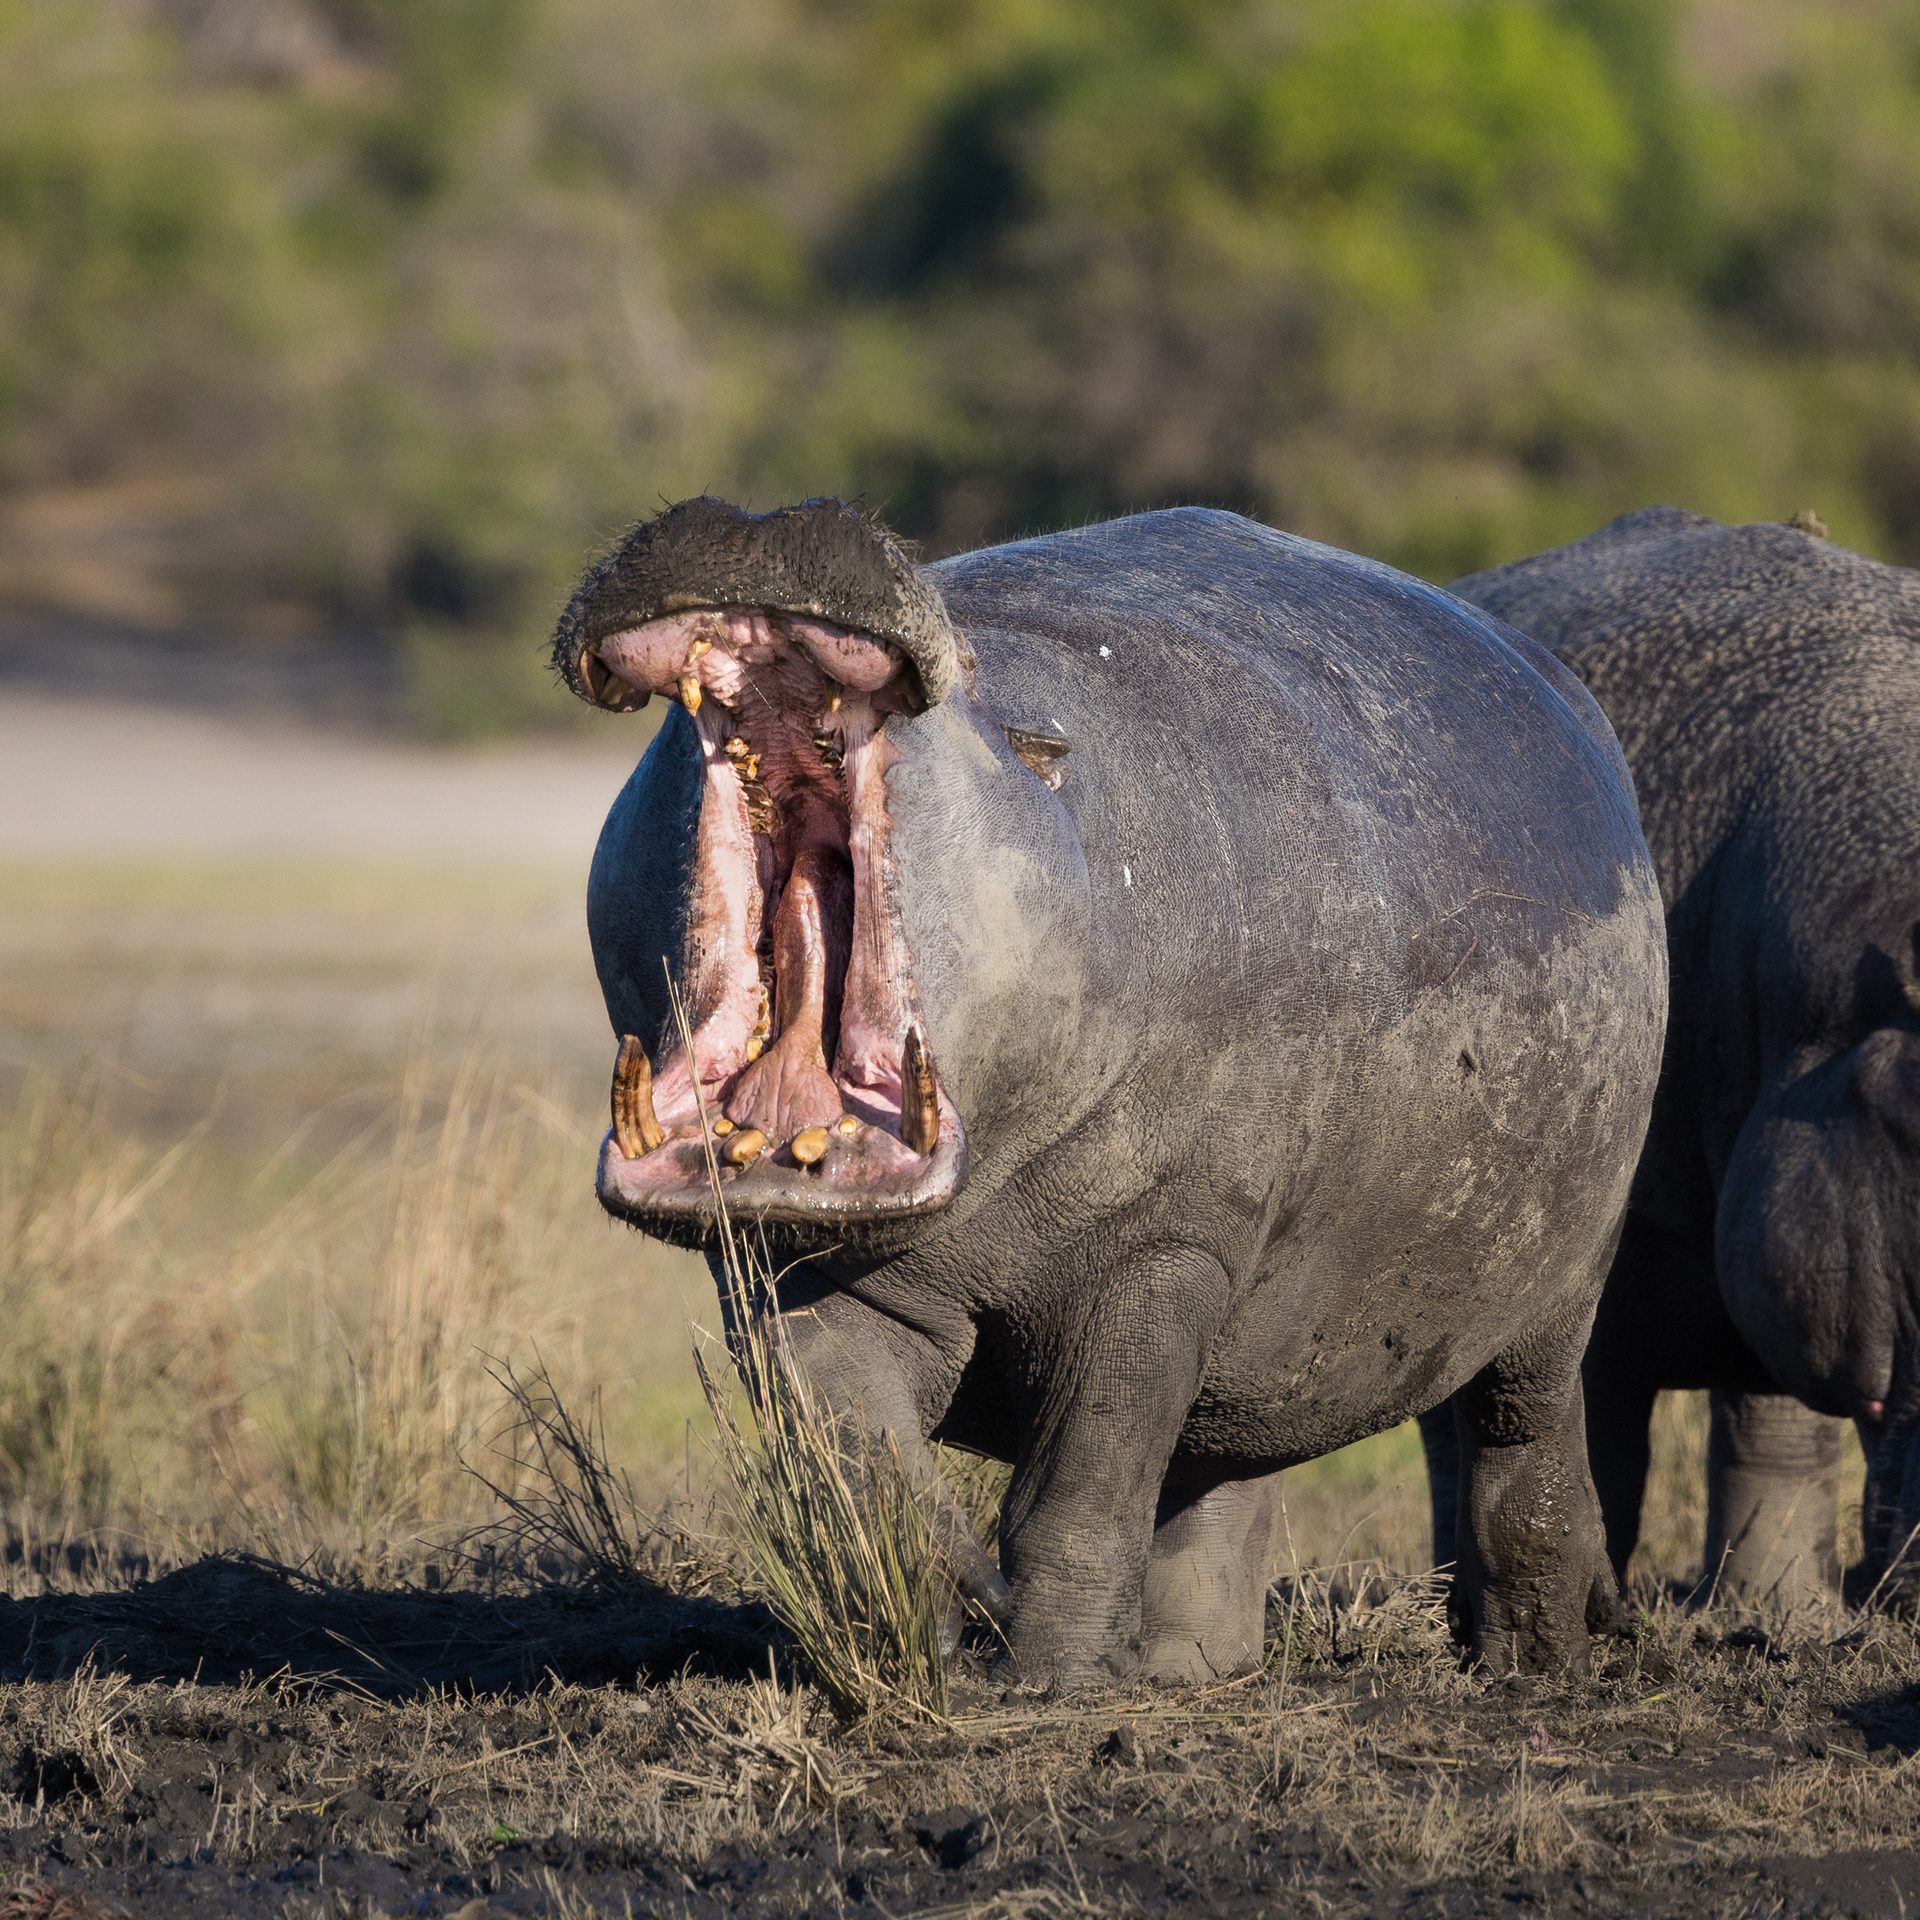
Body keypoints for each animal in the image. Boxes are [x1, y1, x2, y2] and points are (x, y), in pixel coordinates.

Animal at [558, 496, 1666, 1681]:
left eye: (988, 693)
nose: (758, 514)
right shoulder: (780, 1267)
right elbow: (858, 1459)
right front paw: (960, 1615)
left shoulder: (1165, 1249)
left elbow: (1080, 1487)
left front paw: (1048, 1679)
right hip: (1267, 1336)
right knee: (1225, 1470)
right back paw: (1193, 1669)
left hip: (1565, 1273)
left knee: (1528, 1440)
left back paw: (1532, 1660)